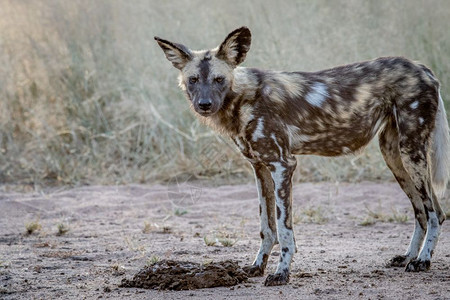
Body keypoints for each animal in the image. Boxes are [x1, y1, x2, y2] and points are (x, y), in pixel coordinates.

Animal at [154, 27, 446, 286]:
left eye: (219, 79)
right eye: (193, 80)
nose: (204, 104)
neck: (242, 100)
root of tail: (423, 68)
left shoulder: (283, 165)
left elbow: (284, 230)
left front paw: (281, 273)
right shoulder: (261, 168)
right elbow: (267, 227)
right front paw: (258, 266)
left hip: (411, 153)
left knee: (434, 213)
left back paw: (423, 261)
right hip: (394, 156)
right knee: (423, 211)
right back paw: (408, 256)